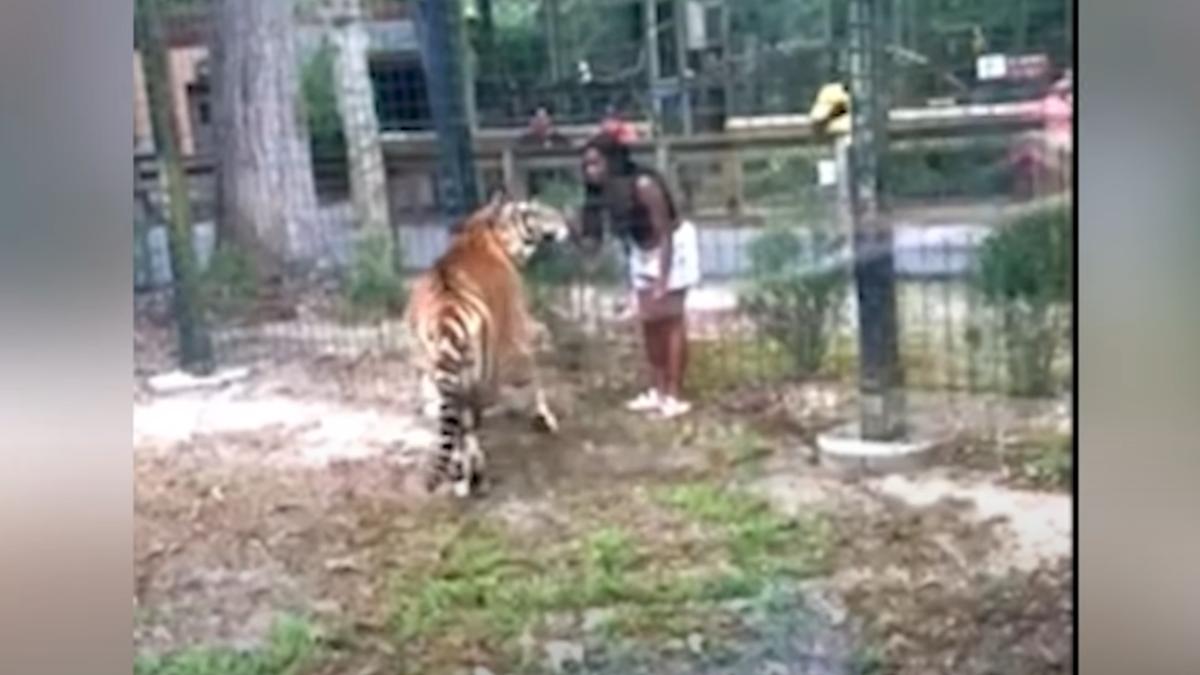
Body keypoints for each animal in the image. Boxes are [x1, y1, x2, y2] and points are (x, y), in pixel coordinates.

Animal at [405, 189, 568, 494]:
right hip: (480, 374)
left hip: (440, 370)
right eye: (532, 211)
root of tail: (447, 315)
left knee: (456, 423)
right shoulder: (518, 331)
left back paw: (461, 478)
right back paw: (476, 476)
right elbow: (534, 374)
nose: (564, 220)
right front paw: (546, 418)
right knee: (468, 423)